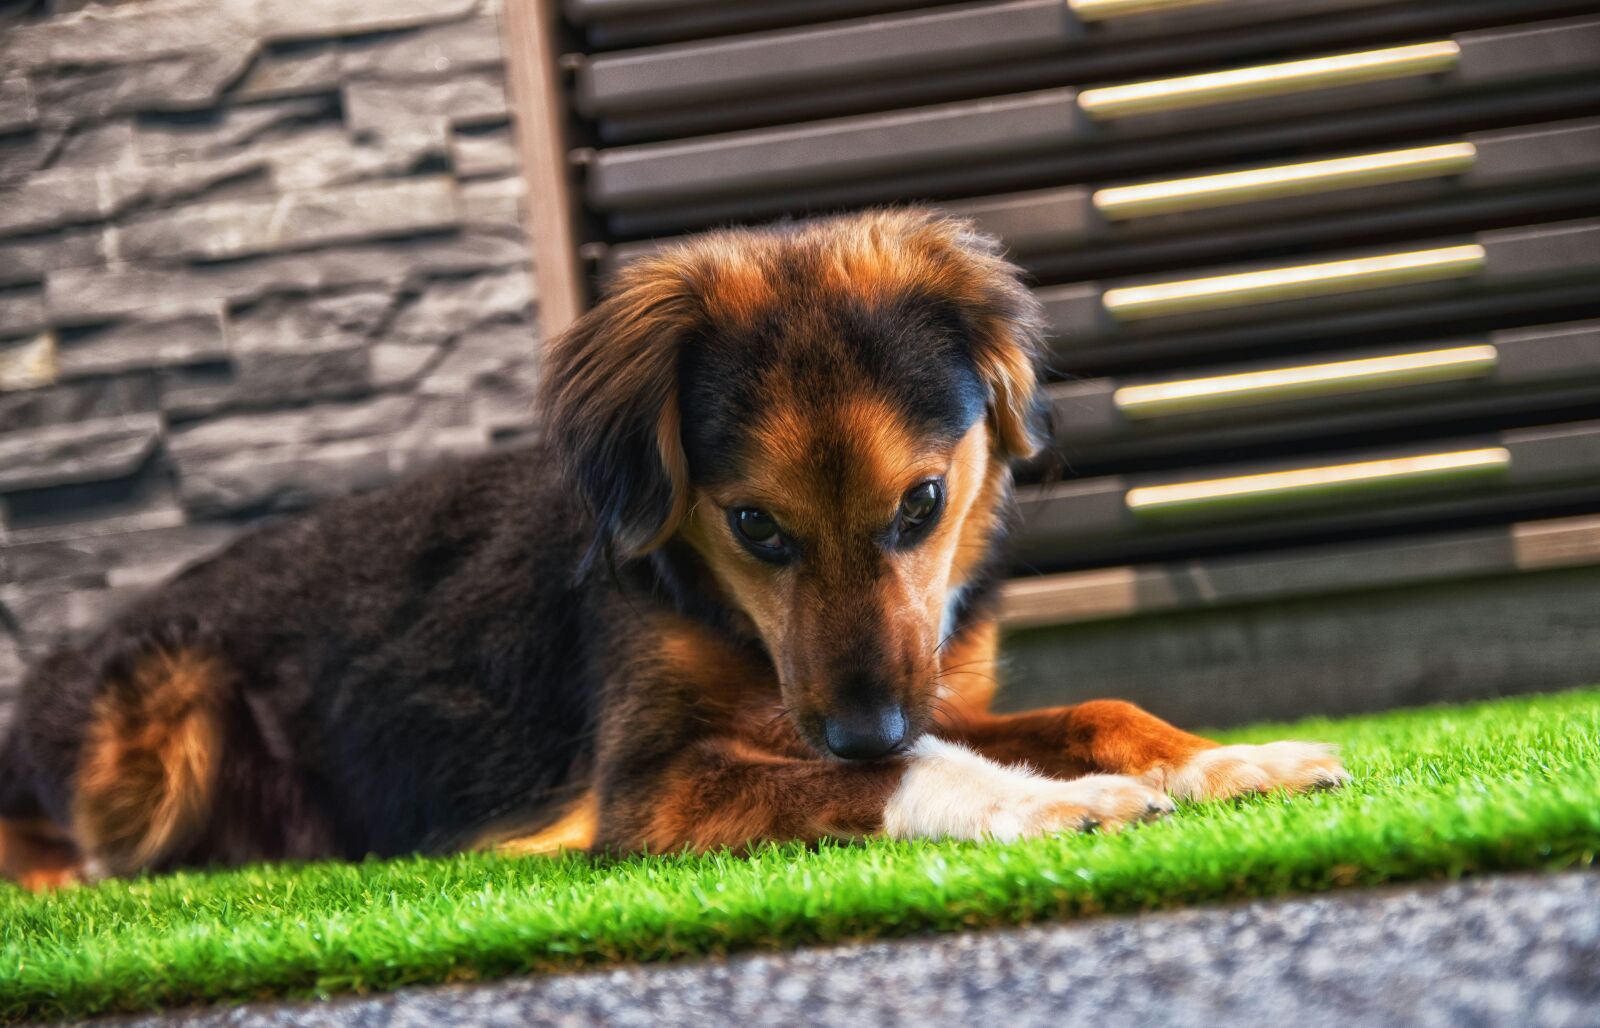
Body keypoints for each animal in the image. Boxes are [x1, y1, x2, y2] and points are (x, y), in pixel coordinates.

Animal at [0, 211, 1350, 883]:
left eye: (921, 503)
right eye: (754, 524)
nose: (863, 724)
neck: (726, 615)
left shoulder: (926, 689)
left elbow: (1092, 708)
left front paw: (1228, 758)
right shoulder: (649, 787)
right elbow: (883, 780)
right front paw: (1036, 804)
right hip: (157, 715)